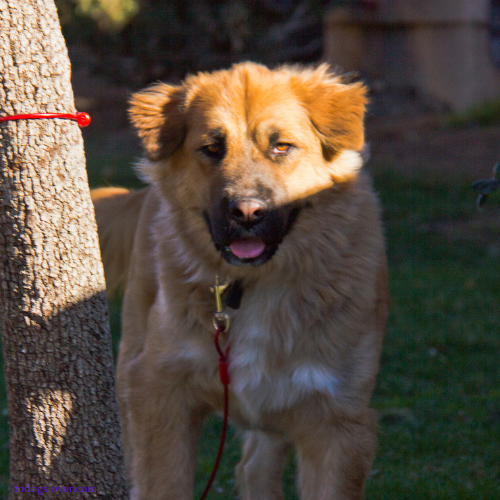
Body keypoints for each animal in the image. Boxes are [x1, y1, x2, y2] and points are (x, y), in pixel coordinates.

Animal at [93, 63, 390, 500]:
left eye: (281, 147)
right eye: (212, 148)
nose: (247, 212)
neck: (255, 284)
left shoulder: (338, 419)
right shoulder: (160, 390)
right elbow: (163, 482)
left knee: (254, 467)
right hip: (133, 355)